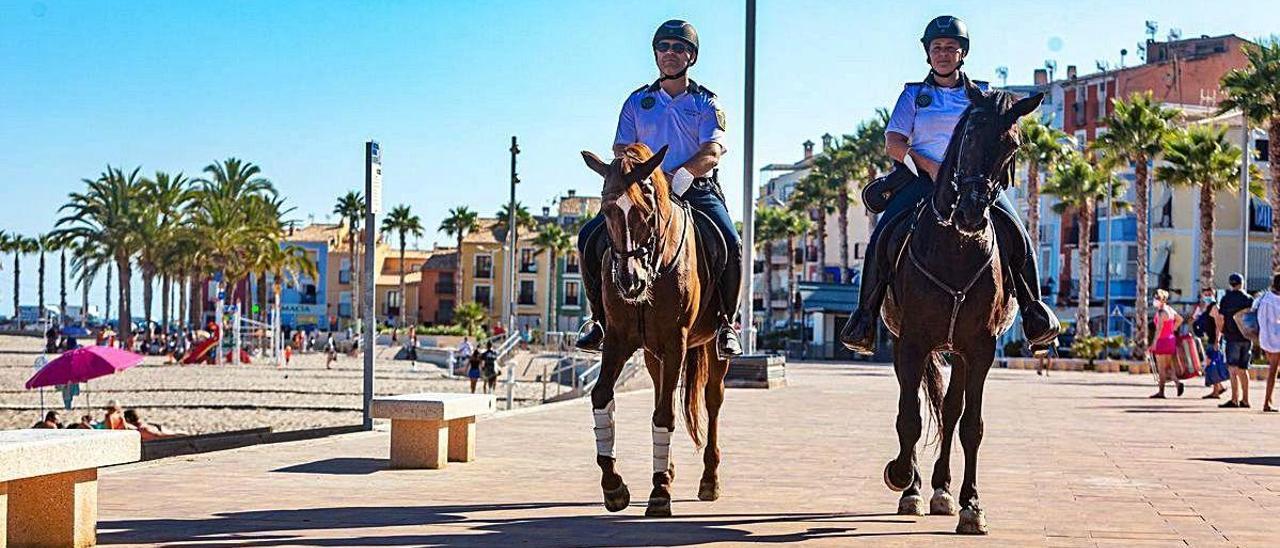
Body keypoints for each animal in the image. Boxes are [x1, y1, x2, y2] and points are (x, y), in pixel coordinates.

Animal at [581, 142, 732, 517]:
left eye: (645, 211)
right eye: (607, 210)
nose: (629, 281)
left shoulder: (675, 341)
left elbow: (665, 414)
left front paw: (660, 491)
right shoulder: (617, 340)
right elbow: (601, 397)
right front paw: (614, 486)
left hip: (711, 349)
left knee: (712, 400)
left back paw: (709, 479)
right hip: (653, 354)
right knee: (658, 388)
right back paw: (670, 467)